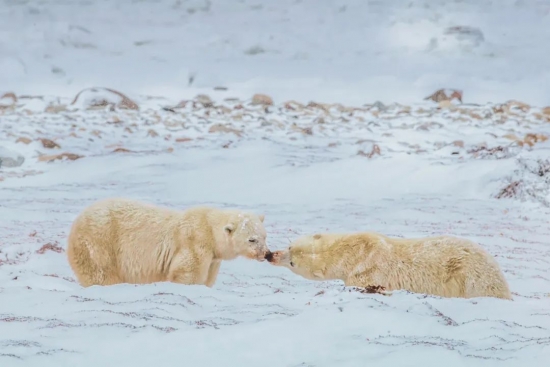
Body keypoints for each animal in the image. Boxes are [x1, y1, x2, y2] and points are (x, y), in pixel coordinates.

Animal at [67, 197, 270, 288]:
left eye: (264, 236)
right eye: (252, 239)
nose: (266, 253)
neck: (209, 230)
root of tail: (76, 223)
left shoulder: (213, 259)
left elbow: (207, 278)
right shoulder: (195, 243)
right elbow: (187, 273)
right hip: (99, 244)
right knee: (101, 274)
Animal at [268, 231, 512, 300]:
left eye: (292, 262)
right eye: (290, 245)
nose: (271, 255)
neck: (357, 251)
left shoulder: (366, 274)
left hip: (471, 280)